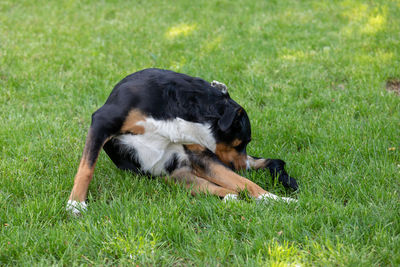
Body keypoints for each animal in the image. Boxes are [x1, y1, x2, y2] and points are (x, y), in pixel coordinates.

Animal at [66, 69, 296, 216]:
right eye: (241, 143)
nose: (243, 166)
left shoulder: (198, 153)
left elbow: (246, 183)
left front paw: (276, 199)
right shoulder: (102, 121)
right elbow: (86, 168)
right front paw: (75, 203)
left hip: (182, 173)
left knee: (233, 188)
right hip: (176, 177)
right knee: (225, 190)